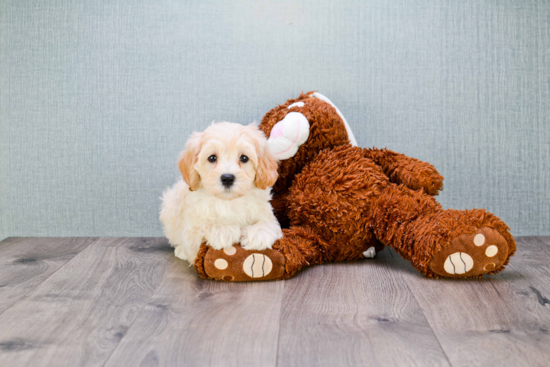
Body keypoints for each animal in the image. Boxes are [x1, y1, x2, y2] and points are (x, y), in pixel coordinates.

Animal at [157, 123, 282, 264]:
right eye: (212, 158)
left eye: (244, 158)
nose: (227, 178)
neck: (229, 201)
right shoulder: (191, 228)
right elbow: (202, 226)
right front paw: (223, 230)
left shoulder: (266, 213)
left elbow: (268, 223)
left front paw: (258, 234)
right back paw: (180, 251)